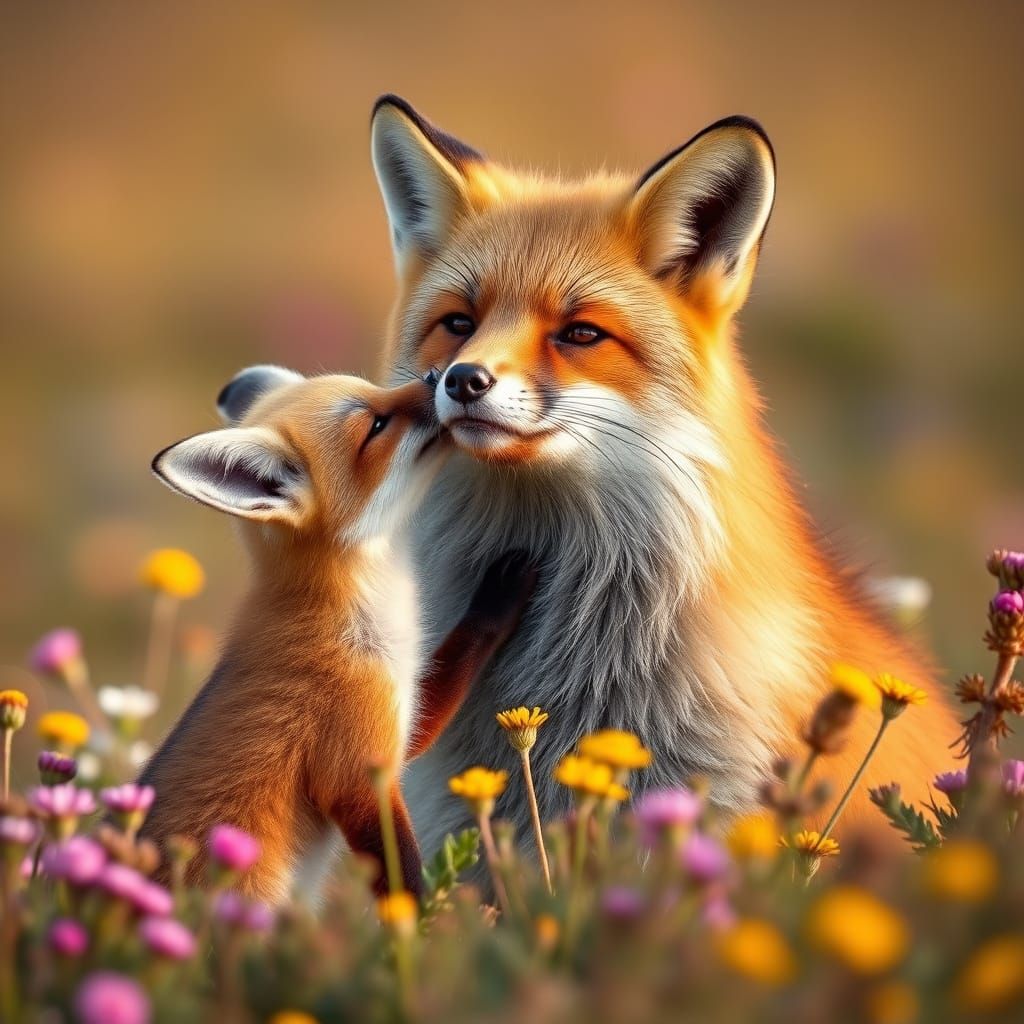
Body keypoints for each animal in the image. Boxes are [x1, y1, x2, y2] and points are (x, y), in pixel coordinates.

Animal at [139, 365, 534, 903]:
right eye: (375, 426)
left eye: (374, 388)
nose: (443, 375)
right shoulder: (357, 771)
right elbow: (405, 882)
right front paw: (420, 925)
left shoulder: (400, 719)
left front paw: (497, 597)